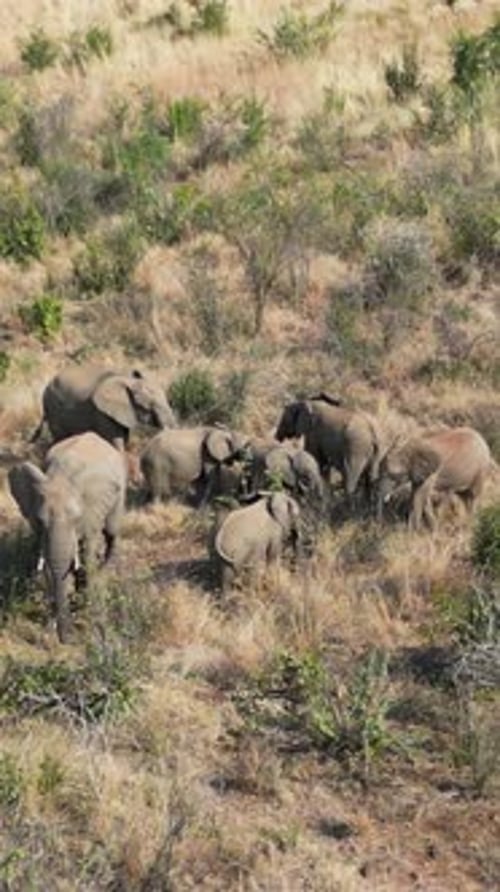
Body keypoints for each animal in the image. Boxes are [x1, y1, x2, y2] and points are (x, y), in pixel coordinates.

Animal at [8, 432, 127, 642]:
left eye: (76, 519)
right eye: (40, 521)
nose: (68, 638)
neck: (61, 476)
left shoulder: (91, 512)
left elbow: (87, 555)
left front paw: (89, 615)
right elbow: (49, 563)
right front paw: (50, 625)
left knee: (111, 534)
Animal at [31, 363, 176, 450]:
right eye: (146, 407)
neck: (126, 379)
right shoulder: (102, 413)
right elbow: (115, 441)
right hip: (53, 409)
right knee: (60, 438)